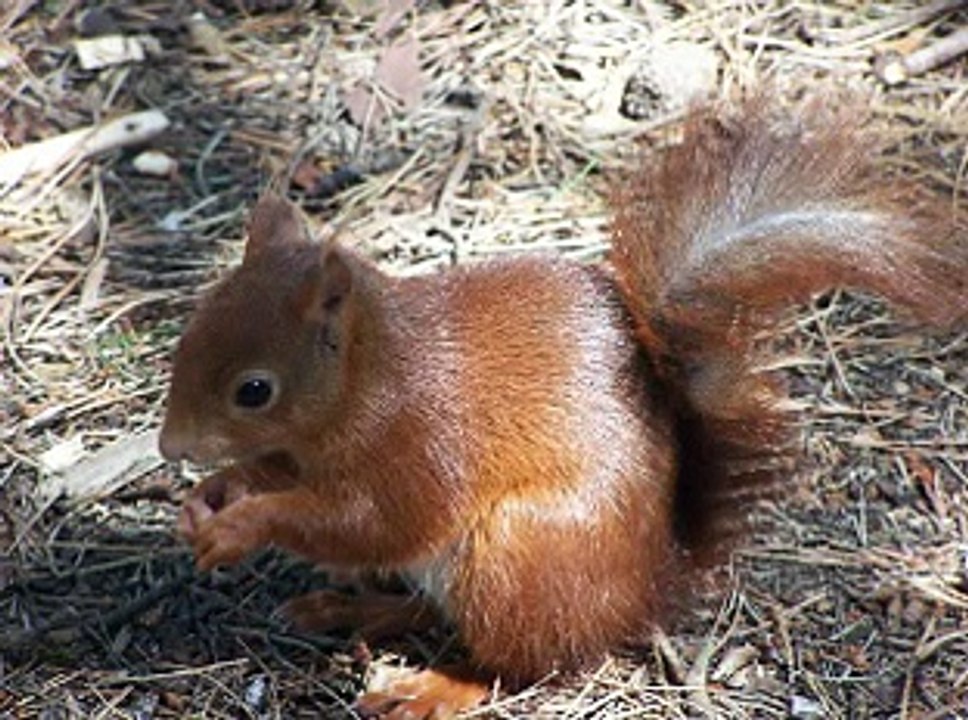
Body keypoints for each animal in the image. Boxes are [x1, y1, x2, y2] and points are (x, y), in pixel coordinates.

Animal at [159, 96, 967, 718]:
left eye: (254, 390)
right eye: (187, 333)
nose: (170, 449)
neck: (368, 381)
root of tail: (647, 587)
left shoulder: (420, 444)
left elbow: (372, 523)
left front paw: (239, 527)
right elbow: (281, 481)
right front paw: (214, 496)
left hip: (517, 555)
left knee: (518, 663)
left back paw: (433, 685)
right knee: (439, 615)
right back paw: (352, 609)